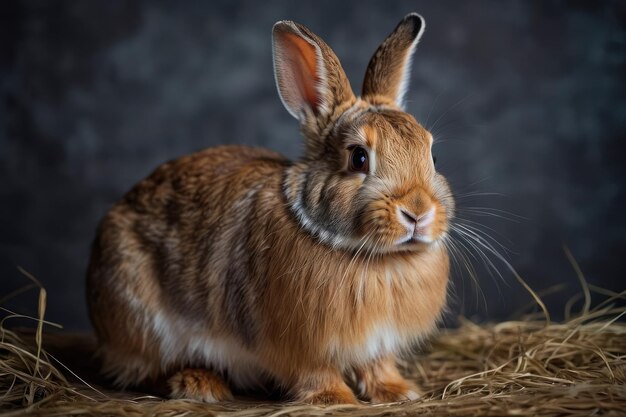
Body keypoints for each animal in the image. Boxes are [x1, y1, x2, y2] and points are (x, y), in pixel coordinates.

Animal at [85, 13, 450, 404]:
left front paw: (399, 391)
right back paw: (199, 384)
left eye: (432, 156)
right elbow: (315, 372)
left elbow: (377, 365)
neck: (379, 258)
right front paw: (334, 399)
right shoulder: (299, 344)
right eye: (358, 158)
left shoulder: (377, 345)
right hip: (140, 317)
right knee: (147, 370)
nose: (417, 211)